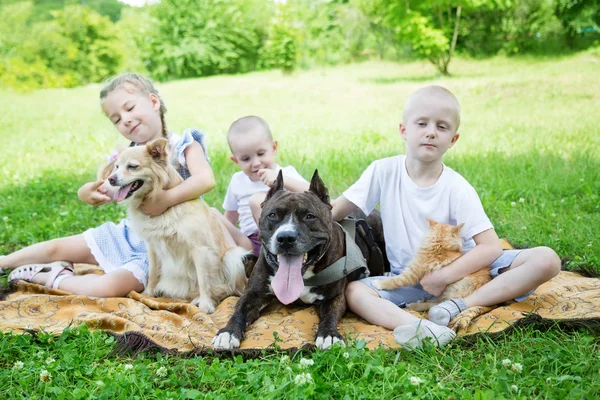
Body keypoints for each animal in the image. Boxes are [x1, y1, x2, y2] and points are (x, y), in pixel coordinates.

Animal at [105, 139, 248, 314]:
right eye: (117, 167)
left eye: (132, 166)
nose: (110, 179)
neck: (165, 209)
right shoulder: (153, 248)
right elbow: (153, 273)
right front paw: (148, 294)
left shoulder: (200, 249)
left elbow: (204, 280)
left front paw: (206, 304)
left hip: (233, 256)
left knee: (228, 290)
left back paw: (202, 298)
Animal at [213, 170, 386, 350]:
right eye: (272, 215)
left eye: (310, 216)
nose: (286, 238)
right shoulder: (253, 293)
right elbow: (239, 309)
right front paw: (228, 332)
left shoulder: (335, 297)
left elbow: (330, 315)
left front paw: (329, 335)